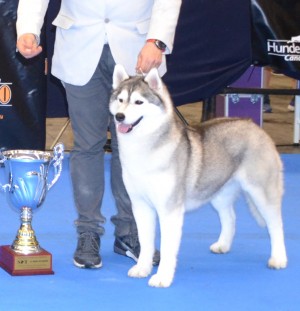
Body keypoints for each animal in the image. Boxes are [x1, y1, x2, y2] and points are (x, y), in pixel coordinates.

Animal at [109, 64, 288, 288]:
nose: (119, 117)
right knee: (230, 217)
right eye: (120, 100)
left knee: (276, 224)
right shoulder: (140, 205)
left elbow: (167, 247)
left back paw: (279, 258)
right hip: (218, 191)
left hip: (262, 191)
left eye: (138, 102)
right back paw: (222, 245)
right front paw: (142, 268)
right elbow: (146, 241)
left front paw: (162, 277)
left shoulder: (170, 210)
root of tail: (254, 126)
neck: (144, 150)